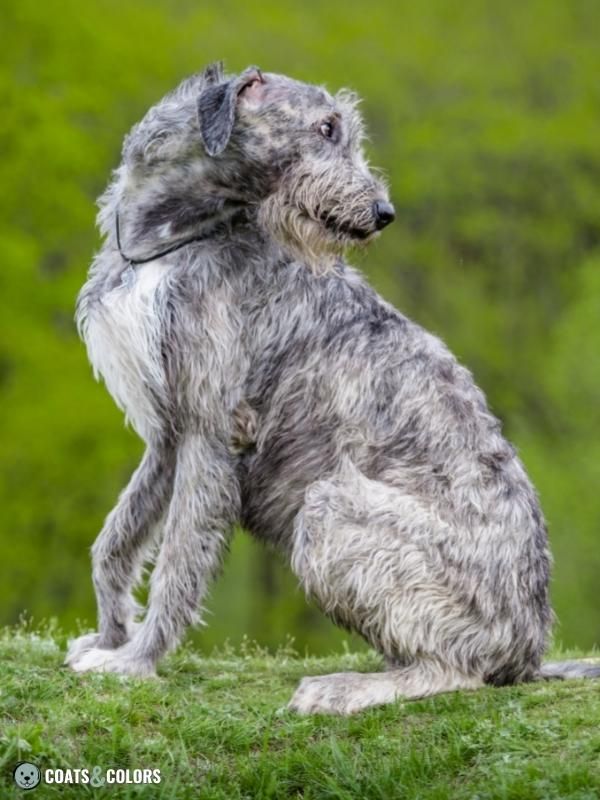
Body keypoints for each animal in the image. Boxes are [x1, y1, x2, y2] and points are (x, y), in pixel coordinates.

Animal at [68, 62, 596, 712]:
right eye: (325, 128)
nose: (384, 211)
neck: (169, 239)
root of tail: (531, 648)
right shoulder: (169, 435)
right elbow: (115, 544)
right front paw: (109, 638)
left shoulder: (211, 432)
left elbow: (178, 559)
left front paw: (136, 661)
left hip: (332, 509)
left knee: (456, 669)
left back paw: (346, 687)